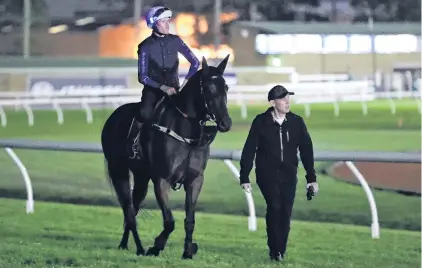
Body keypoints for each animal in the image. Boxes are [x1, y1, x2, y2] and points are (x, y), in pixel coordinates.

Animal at [101, 56, 232, 260]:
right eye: (209, 88)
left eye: (225, 87)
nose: (226, 123)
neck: (185, 135)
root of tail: (113, 115)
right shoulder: (162, 180)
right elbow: (169, 221)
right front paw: (156, 246)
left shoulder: (195, 181)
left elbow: (190, 220)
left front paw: (188, 251)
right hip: (118, 170)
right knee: (129, 209)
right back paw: (139, 248)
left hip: (141, 176)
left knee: (134, 207)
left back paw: (124, 244)